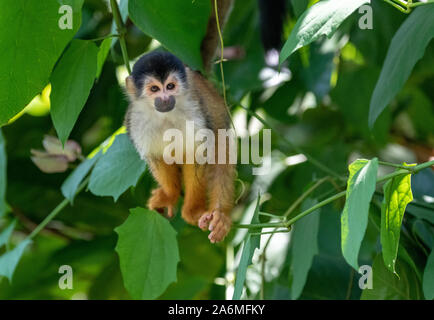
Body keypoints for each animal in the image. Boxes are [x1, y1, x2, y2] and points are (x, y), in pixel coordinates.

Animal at [124, 51, 236, 244]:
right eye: (154, 89)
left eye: (170, 86)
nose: (165, 99)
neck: (164, 116)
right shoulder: (136, 122)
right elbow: (156, 157)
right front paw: (170, 195)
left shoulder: (194, 114)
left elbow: (196, 155)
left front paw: (193, 210)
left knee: (220, 147)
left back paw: (219, 215)